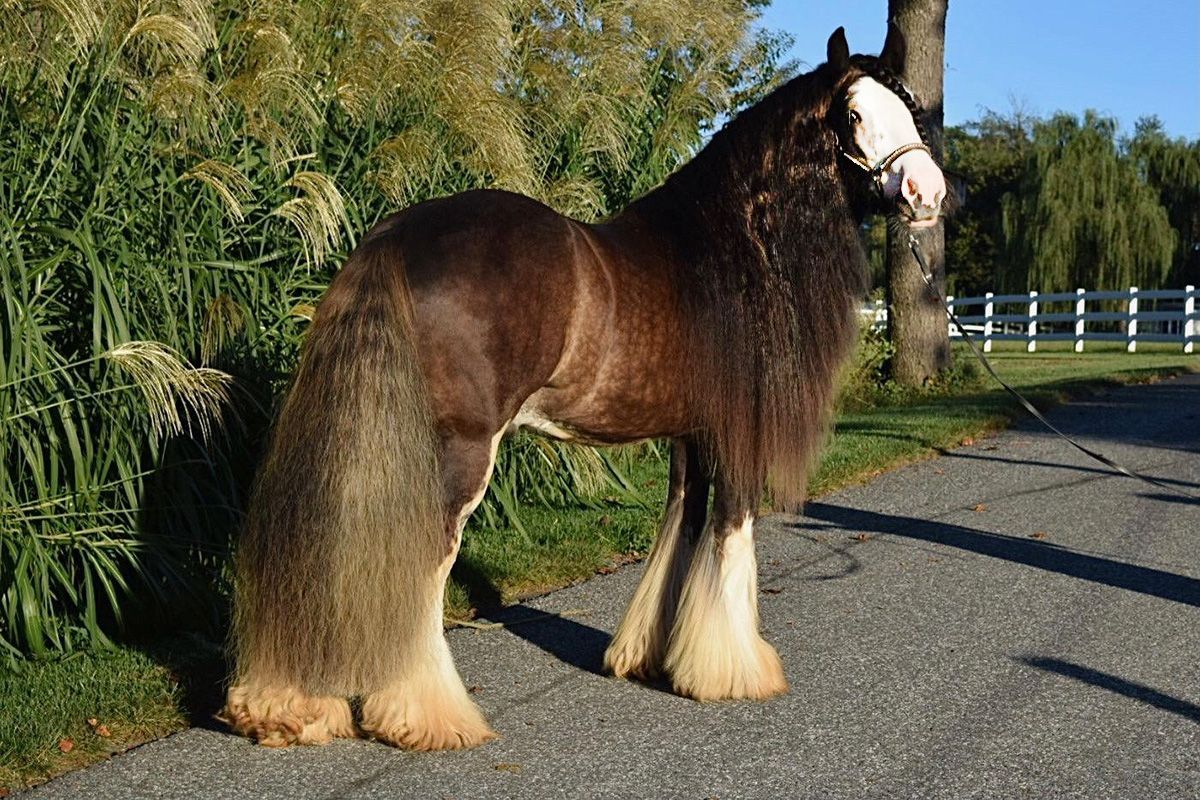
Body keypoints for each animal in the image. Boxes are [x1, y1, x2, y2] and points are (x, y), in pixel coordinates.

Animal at [221, 26, 948, 751]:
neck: (729, 247)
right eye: (854, 114)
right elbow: (731, 537)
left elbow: (680, 528)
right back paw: (426, 715)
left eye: (909, 106)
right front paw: (735, 672)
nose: (928, 192)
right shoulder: (736, 433)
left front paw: (650, 657)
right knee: (423, 565)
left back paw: (290, 707)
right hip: (456, 453)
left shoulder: (689, 437)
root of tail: (399, 236)